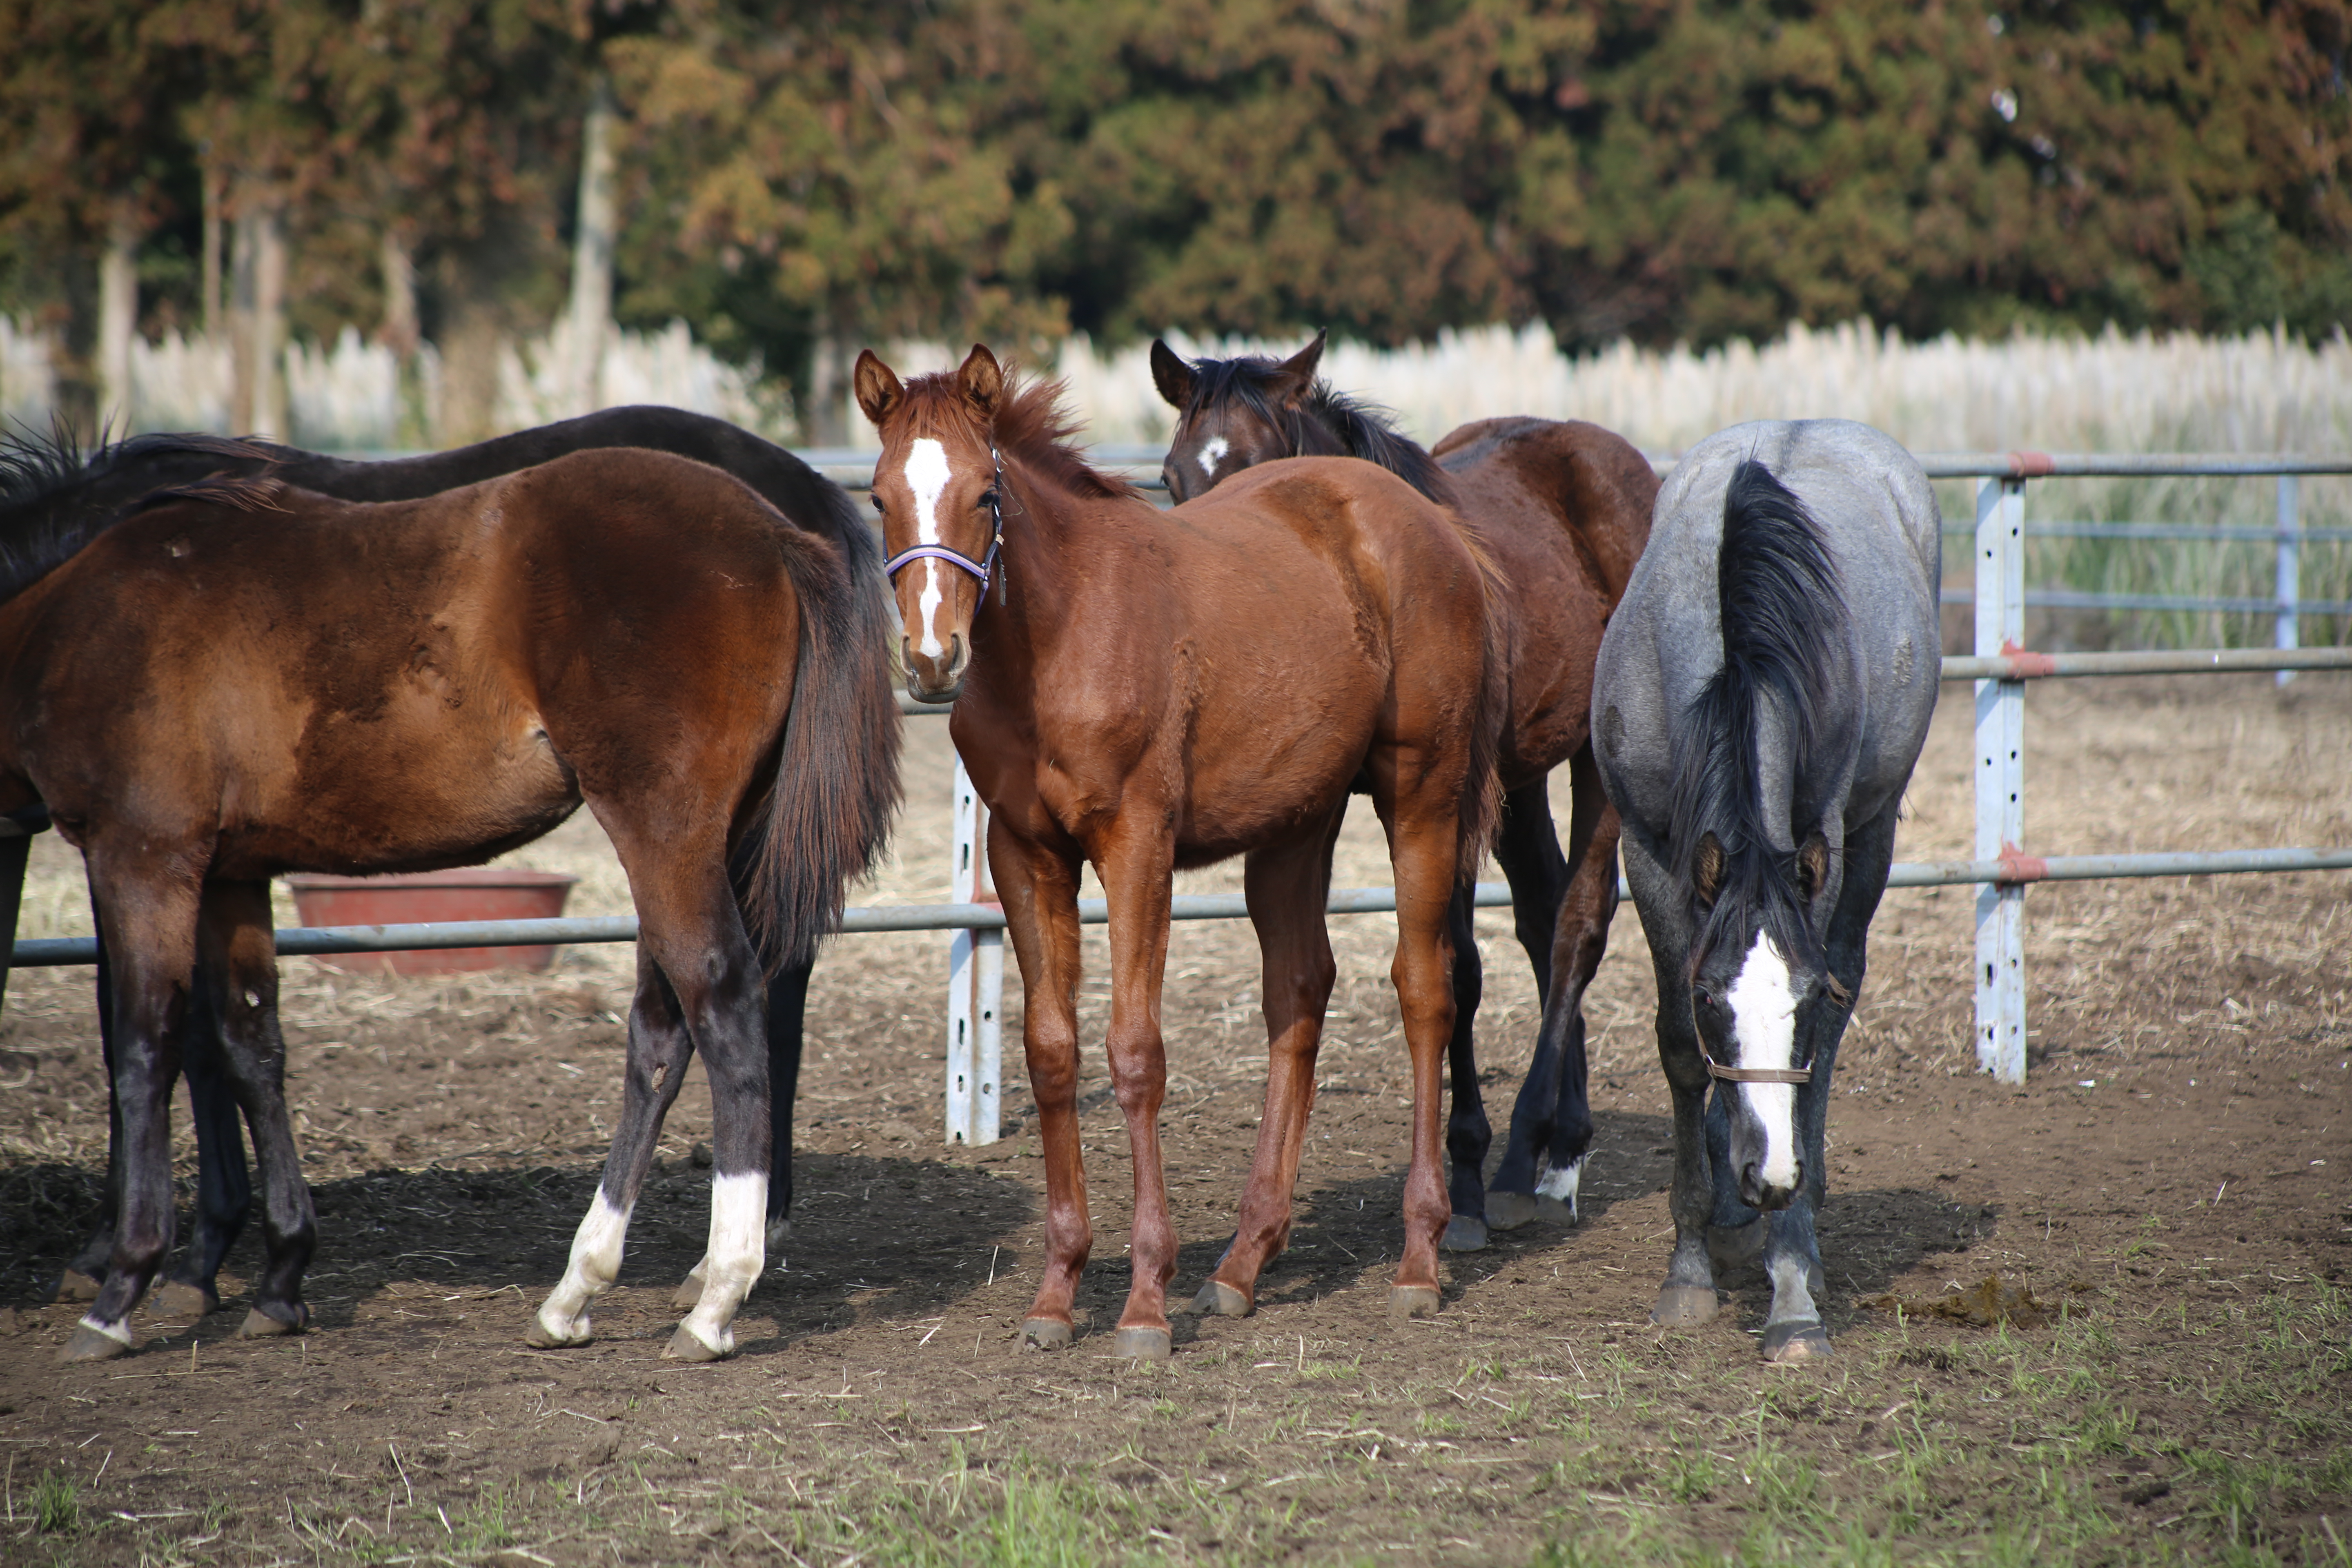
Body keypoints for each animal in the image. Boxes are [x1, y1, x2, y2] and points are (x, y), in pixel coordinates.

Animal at [0, 409, 898, 1335]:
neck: (78, 602)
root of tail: (778, 530)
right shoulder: (226, 873)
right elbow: (246, 1044)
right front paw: (273, 1274)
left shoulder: (142, 854)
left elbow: (145, 1043)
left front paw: (128, 1279)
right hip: (714, 841)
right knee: (669, 1024)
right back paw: (586, 1284)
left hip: (665, 830)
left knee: (723, 1003)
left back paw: (715, 1291)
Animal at [856, 345, 1496, 1363]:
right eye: (880, 497)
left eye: (985, 495)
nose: (930, 658)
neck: (1059, 635)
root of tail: (1429, 523)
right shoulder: (1024, 853)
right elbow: (1052, 1051)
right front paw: (1057, 1293)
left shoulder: (1137, 846)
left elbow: (1135, 1053)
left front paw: (1144, 1305)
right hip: (1297, 824)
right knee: (1299, 991)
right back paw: (1241, 1266)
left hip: (1422, 799)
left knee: (1426, 990)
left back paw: (1419, 1261)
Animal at [1152, 334, 1665, 1250]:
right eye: (1171, 477)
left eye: (1256, 464)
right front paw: (1458, 1182)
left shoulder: (1441, 795)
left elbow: (1455, 969)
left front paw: (1472, 1179)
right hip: (1519, 778)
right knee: (1541, 918)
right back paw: (1561, 1147)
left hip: (1593, 761)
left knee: (1577, 927)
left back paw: (1532, 1158)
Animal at [1590, 416, 1938, 1363]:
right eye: (1715, 999)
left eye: (1805, 1001)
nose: (1773, 1175)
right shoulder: (1649, 851)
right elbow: (1680, 1050)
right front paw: (1689, 1266)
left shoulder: (1820, 849)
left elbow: (1817, 1054)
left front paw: (1791, 1294)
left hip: (1874, 831)